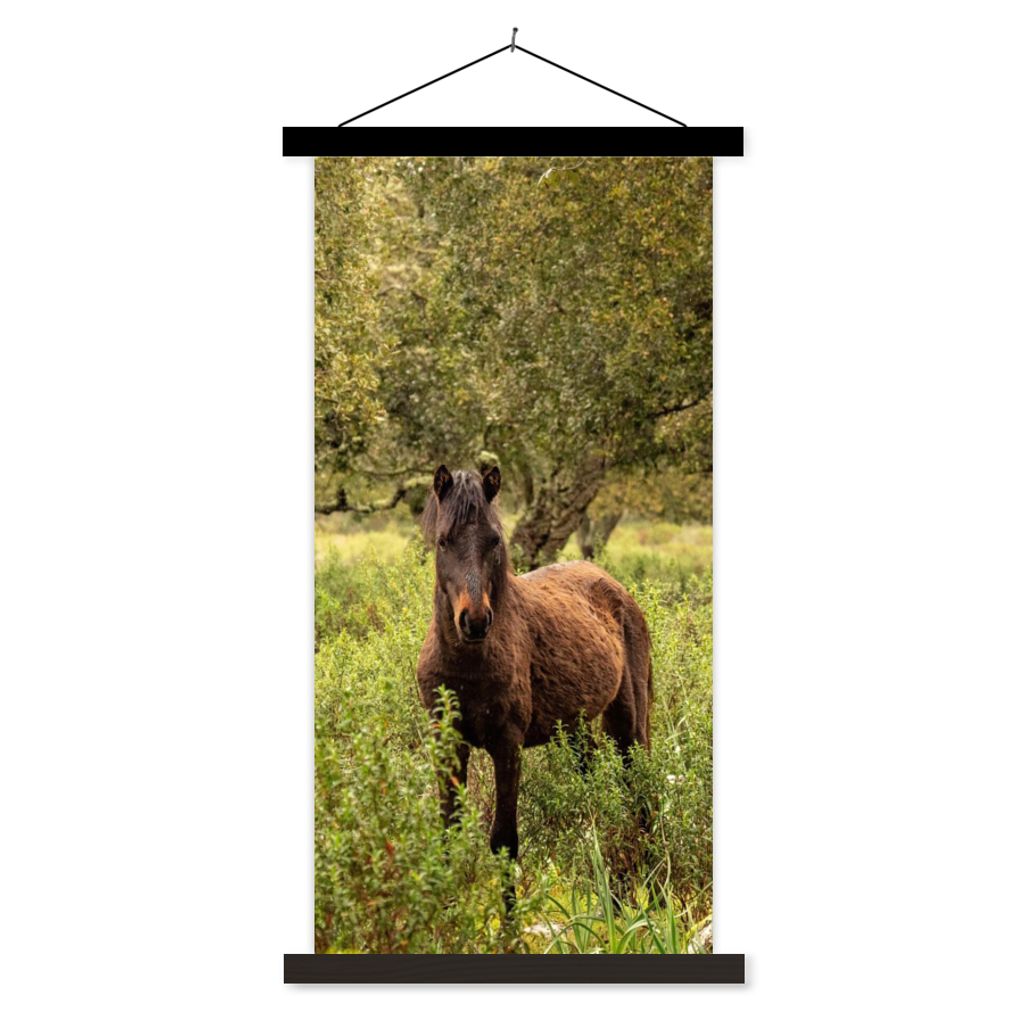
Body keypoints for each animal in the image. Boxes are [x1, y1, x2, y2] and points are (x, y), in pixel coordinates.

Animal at [416, 464, 652, 909]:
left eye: (493, 539)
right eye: (442, 541)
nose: (475, 621)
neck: (467, 664)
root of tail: (616, 587)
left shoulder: (507, 745)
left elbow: (504, 842)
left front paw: (510, 923)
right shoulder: (447, 741)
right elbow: (446, 833)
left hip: (629, 723)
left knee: (641, 795)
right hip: (577, 732)